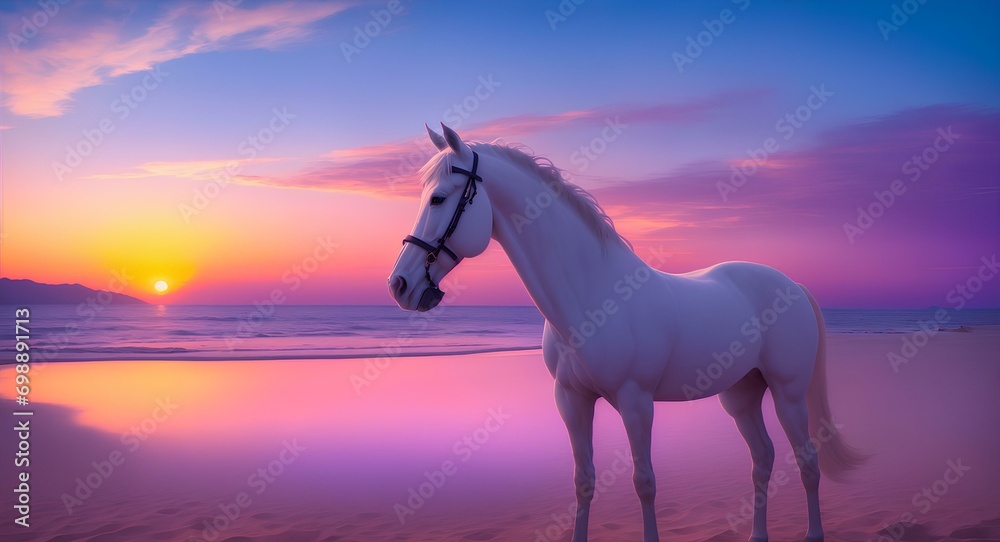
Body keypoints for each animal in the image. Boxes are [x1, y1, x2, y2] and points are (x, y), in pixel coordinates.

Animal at [386, 124, 864, 542]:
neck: (593, 296)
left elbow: (644, 482)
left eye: (438, 198)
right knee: (762, 458)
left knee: (807, 461)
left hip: (788, 393)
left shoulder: (636, 403)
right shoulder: (571, 401)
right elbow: (583, 481)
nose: (400, 286)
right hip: (741, 395)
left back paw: (814, 533)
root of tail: (792, 285)